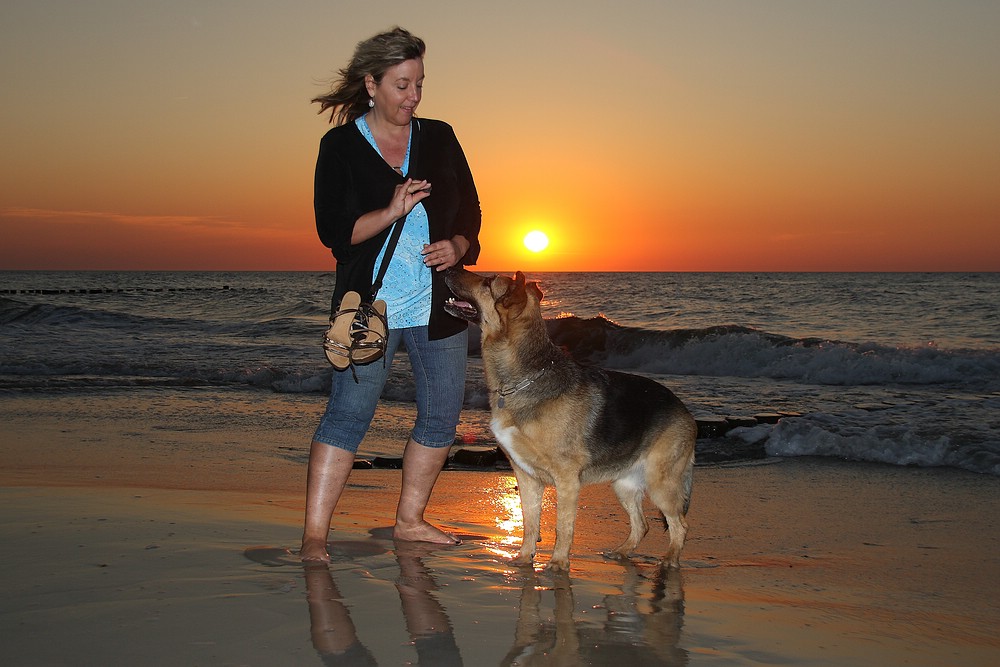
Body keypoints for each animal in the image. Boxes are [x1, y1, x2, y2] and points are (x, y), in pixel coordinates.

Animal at [446, 268, 696, 572]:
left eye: (487, 282)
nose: (447, 269)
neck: (526, 377)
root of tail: (684, 410)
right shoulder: (527, 478)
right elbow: (530, 523)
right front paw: (524, 558)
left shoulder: (566, 480)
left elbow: (562, 526)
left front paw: (558, 563)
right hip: (624, 485)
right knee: (642, 525)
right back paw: (623, 552)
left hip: (661, 485)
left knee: (679, 525)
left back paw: (670, 559)